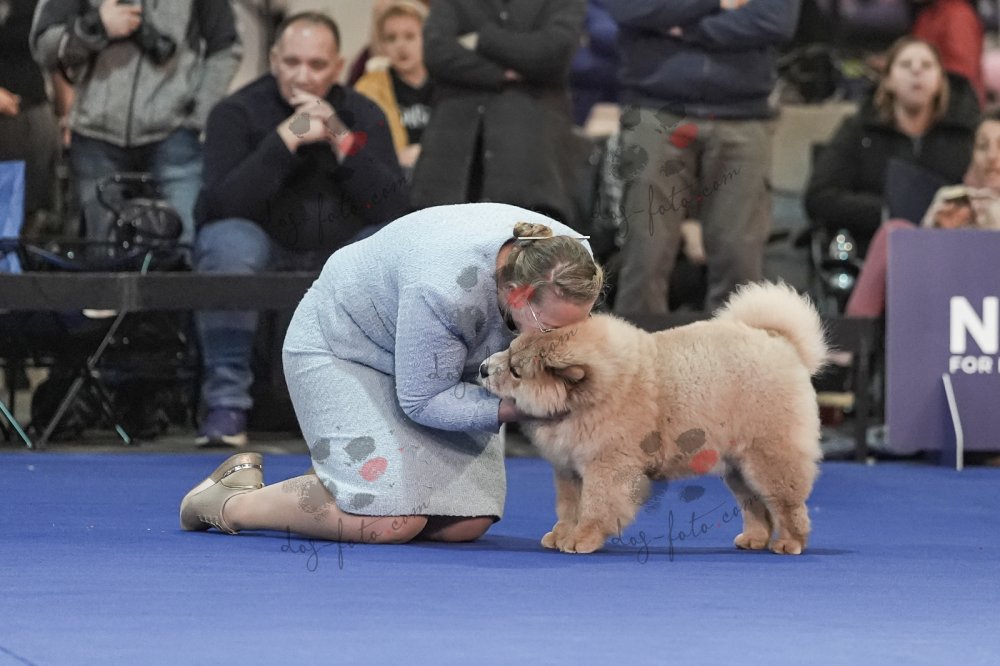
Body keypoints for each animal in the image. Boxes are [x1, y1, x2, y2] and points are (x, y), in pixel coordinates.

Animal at [479, 281, 827, 555]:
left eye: (516, 371)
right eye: (509, 351)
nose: (483, 368)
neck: (601, 393)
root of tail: (780, 341)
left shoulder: (606, 466)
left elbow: (594, 505)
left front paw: (581, 539)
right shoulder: (568, 467)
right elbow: (568, 506)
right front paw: (561, 534)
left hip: (767, 458)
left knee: (786, 504)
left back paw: (790, 543)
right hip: (738, 467)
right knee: (755, 505)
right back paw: (754, 539)